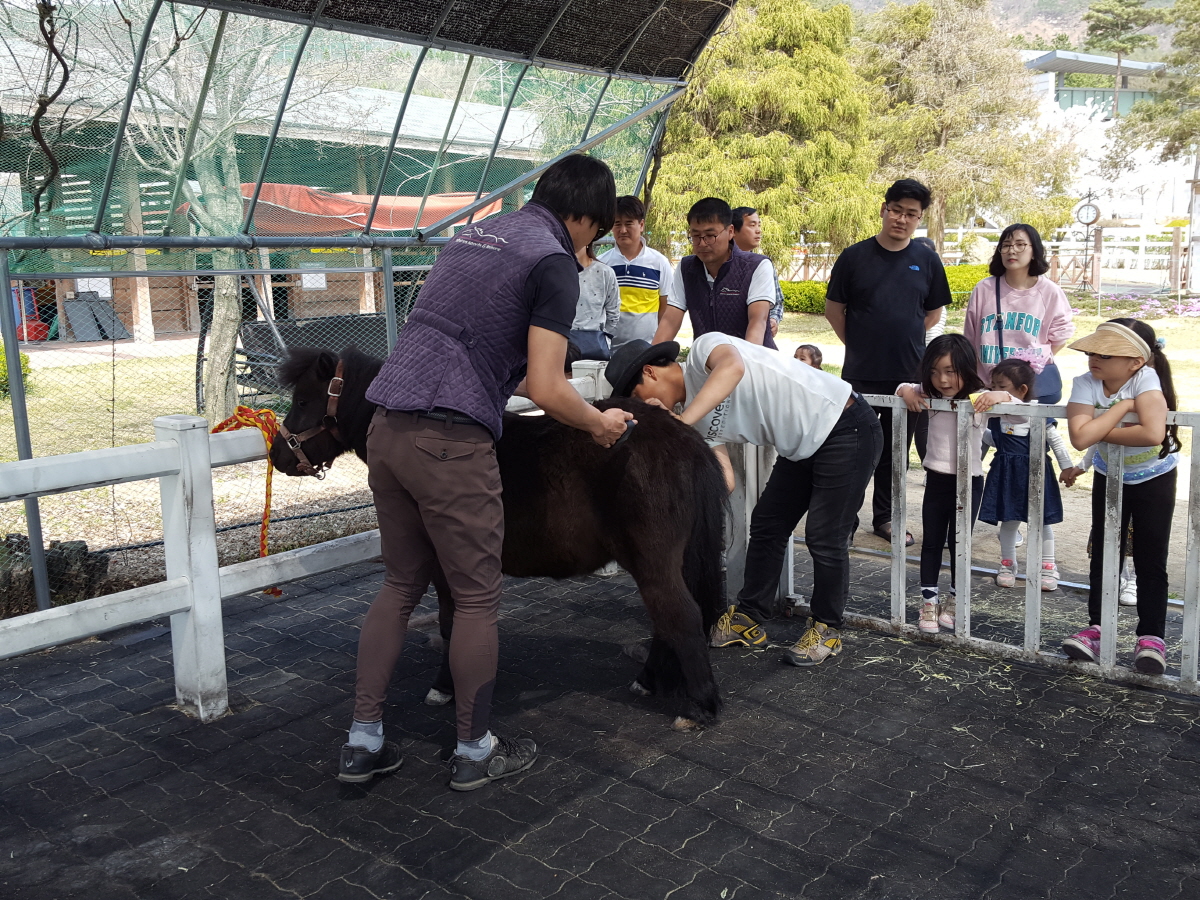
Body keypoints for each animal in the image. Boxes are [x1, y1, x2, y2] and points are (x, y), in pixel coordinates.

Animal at [271, 348, 720, 729]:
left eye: (305, 401)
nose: (278, 456)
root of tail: (683, 440)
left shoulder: (444, 564)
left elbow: (451, 623)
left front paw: (445, 687)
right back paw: (650, 680)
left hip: (651, 561)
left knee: (680, 616)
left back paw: (701, 706)